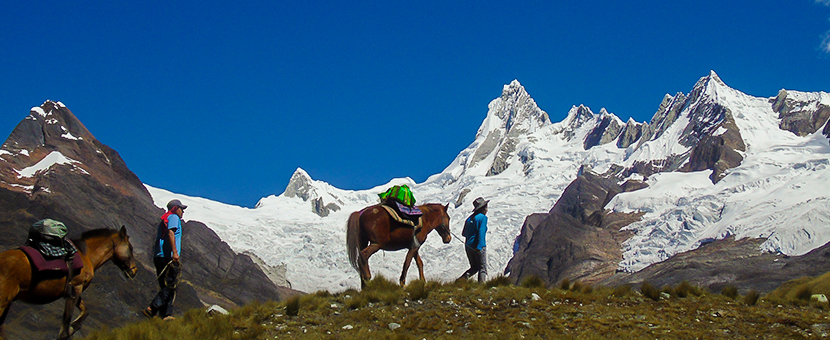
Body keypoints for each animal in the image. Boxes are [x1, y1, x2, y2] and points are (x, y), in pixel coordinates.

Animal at [0, 226, 138, 340]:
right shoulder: (76, 287)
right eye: (130, 248)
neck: (86, 255)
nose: (134, 270)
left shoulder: (76, 290)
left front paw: (74, 326)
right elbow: (65, 328)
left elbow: (85, 312)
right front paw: (70, 329)